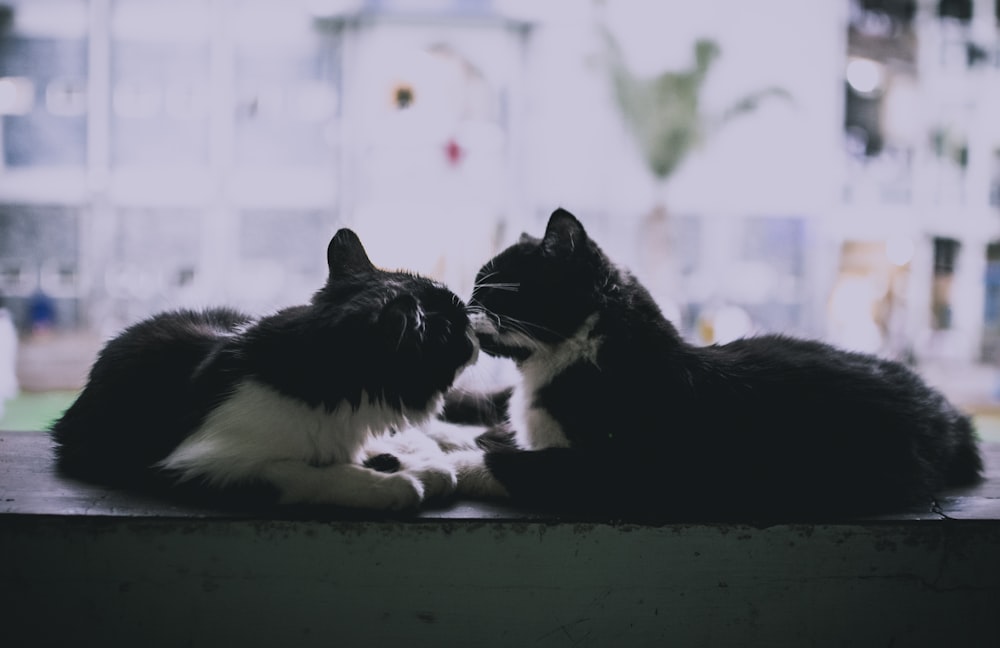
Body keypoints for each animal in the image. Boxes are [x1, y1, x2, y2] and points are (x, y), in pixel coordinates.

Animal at [50, 229, 480, 512]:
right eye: (454, 329)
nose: (476, 331)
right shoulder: (198, 466)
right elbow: (310, 474)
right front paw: (395, 485)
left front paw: (417, 465)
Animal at [454, 210, 984, 520]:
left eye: (492, 289)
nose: (464, 304)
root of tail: (950, 413)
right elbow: (492, 413)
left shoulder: (626, 469)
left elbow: (514, 462)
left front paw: (453, 461)